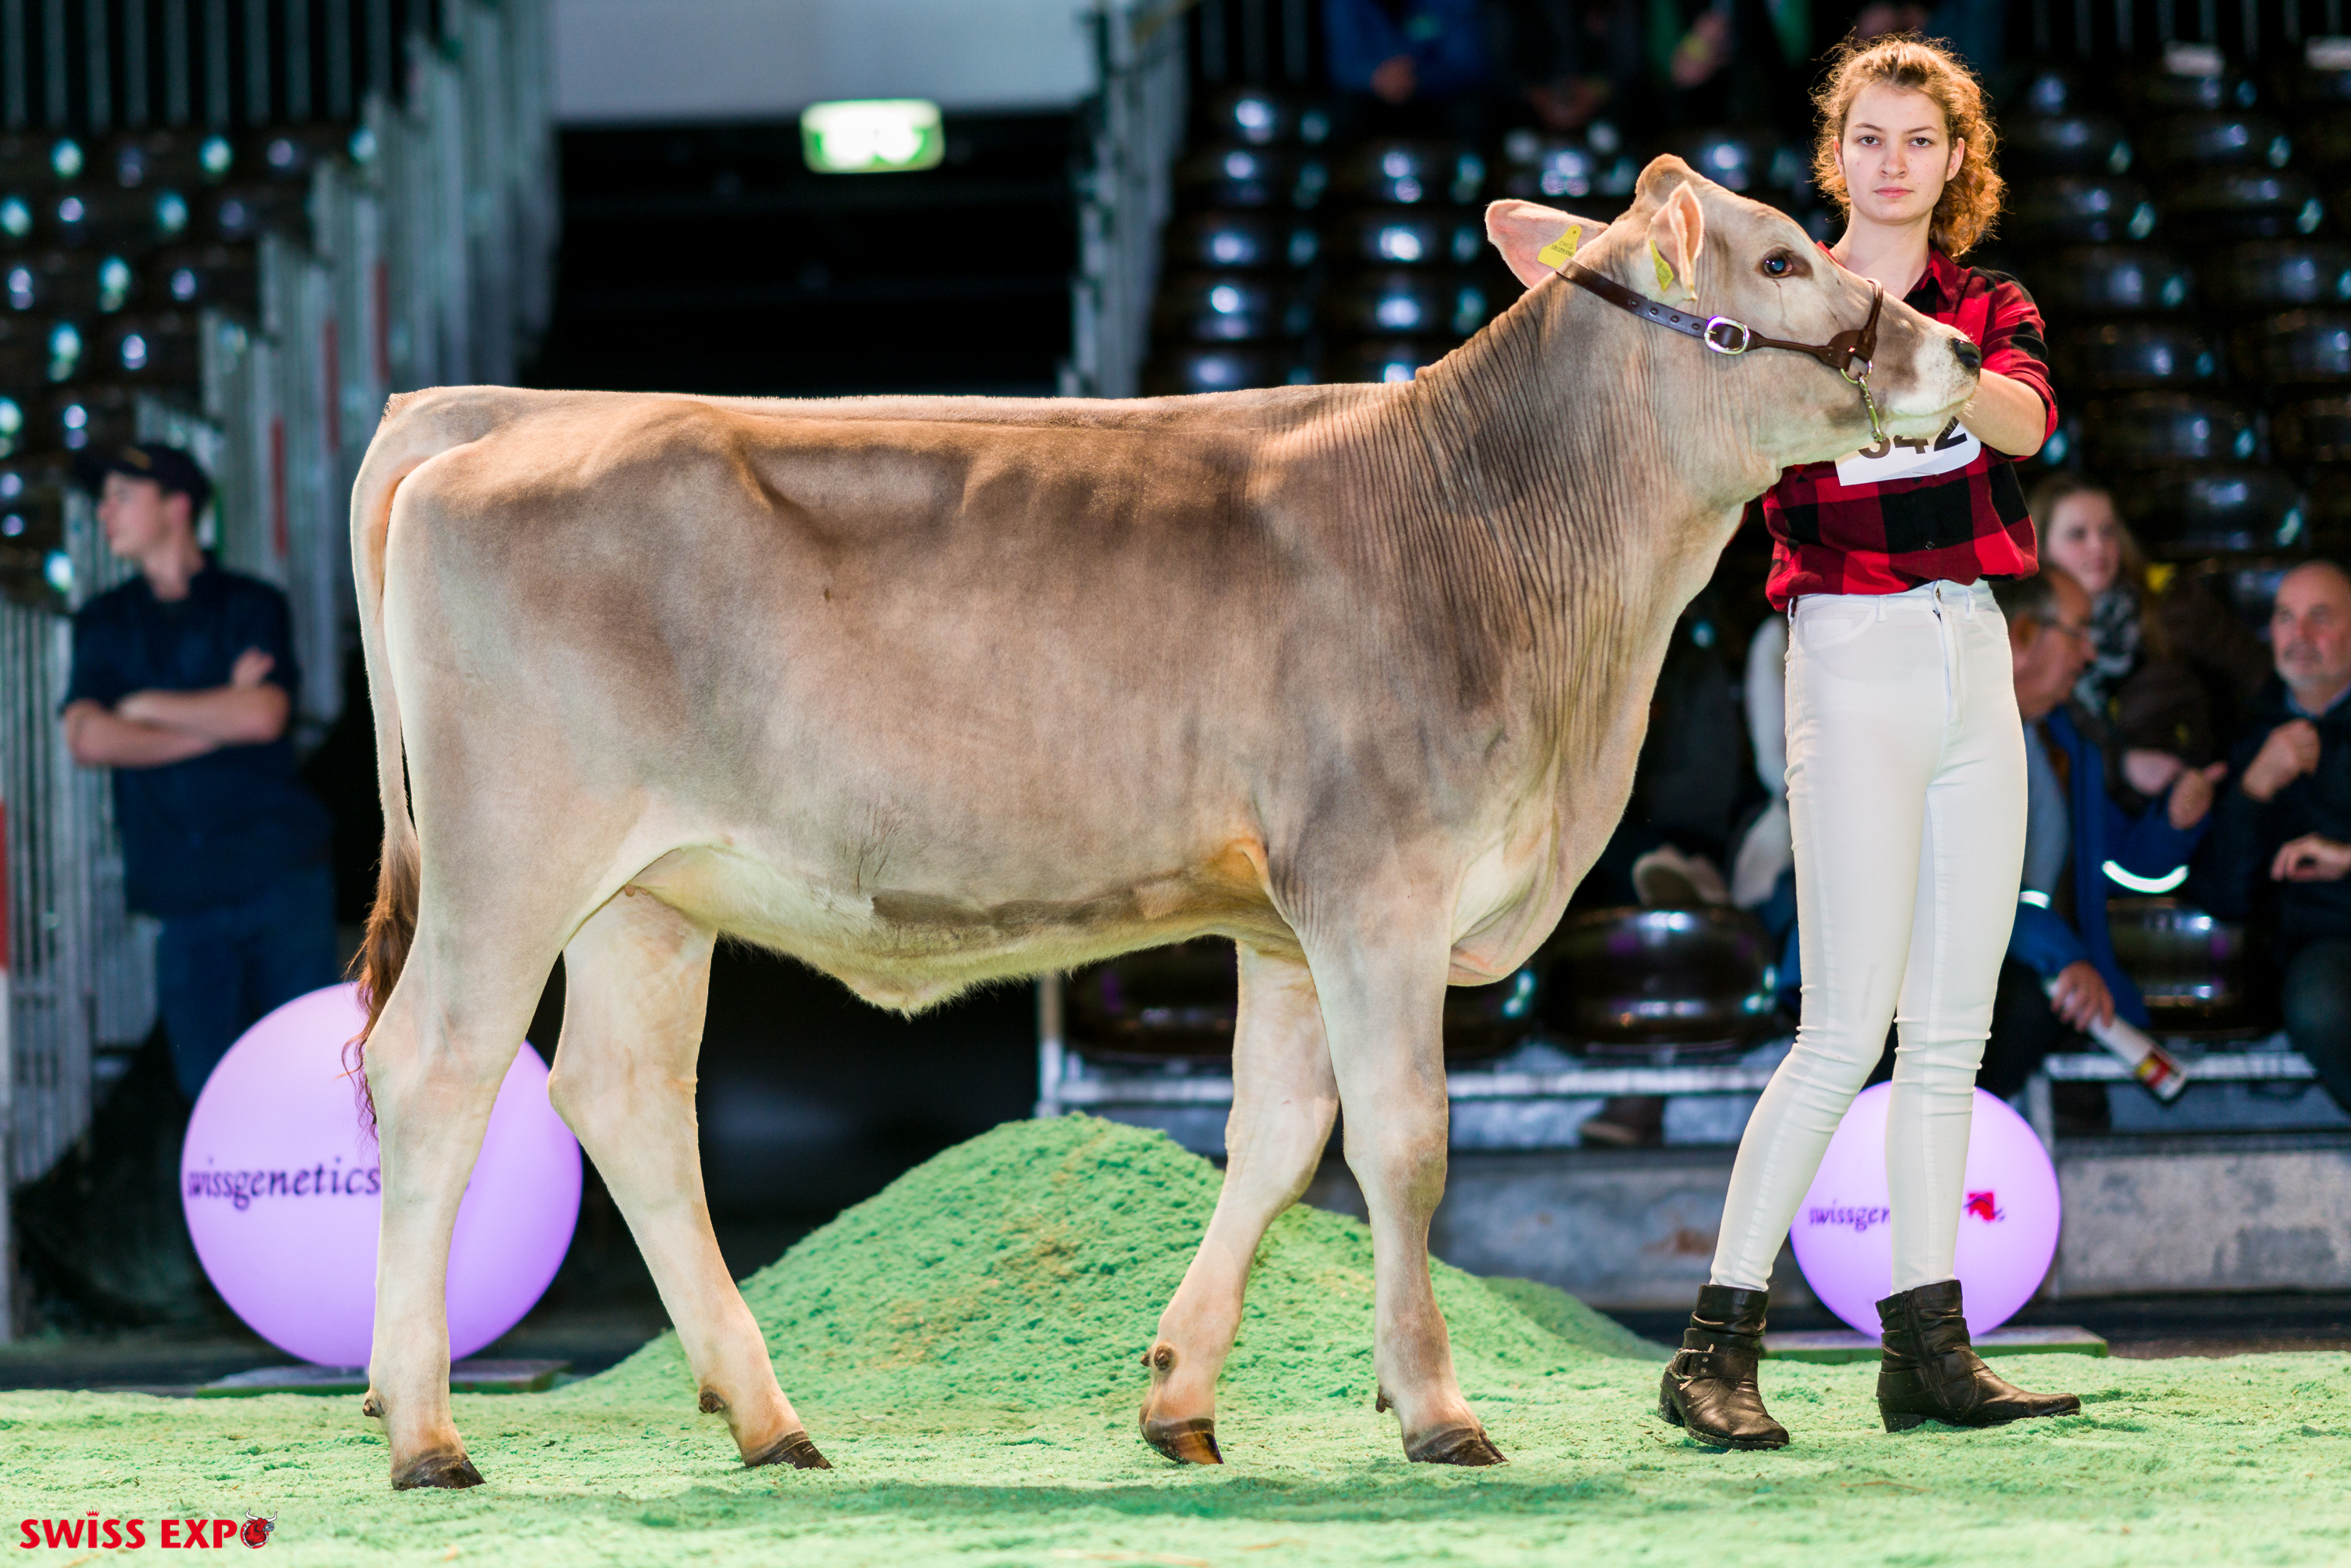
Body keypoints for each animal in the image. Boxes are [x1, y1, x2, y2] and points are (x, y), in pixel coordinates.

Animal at [344, 156, 1980, 1489]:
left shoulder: (1286, 922)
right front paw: (1437, 1409)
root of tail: (485, 419)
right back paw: (426, 1432)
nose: (1957, 346)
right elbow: (1402, 1142)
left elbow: (1275, 1137)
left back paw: (766, 1420)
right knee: (431, 1069)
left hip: (651, 895)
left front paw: (1180, 1396)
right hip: (514, 860)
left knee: (623, 1100)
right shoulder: (1377, 886)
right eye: (1780, 259)